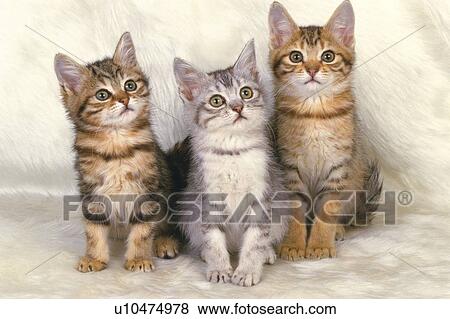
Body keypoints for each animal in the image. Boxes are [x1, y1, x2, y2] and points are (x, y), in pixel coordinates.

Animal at [53, 31, 178, 272]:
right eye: (102, 95)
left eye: (130, 85)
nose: (124, 99)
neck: (117, 147)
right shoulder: (92, 191)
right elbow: (93, 231)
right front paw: (94, 257)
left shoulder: (148, 190)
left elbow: (142, 231)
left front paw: (138, 258)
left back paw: (165, 241)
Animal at [174, 40, 286, 288]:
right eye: (217, 101)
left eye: (246, 92)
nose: (237, 107)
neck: (233, 151)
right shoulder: (207, 198)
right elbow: (214, 241)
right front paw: (219, 268)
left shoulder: (261, 197)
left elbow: (255, 241)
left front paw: (246, 271)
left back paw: (267, 253)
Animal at [268, 1, 382, 262]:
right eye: (296, 56)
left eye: (327, 56)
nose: (311, 69)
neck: (315, 113)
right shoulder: (290, 168)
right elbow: (296, 210)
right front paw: (293, 244)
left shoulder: (337, 168)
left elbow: (327, 209)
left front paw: (319, 244)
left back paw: (338, 230)